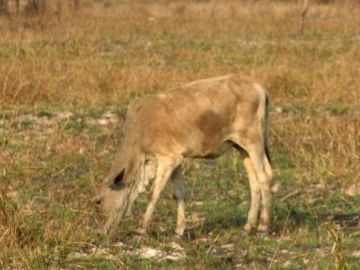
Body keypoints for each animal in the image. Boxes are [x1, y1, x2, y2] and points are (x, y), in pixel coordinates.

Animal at [95, 74, 272, 236]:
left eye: (100, 201)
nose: (101, 231)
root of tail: (259, 88)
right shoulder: (178, 160)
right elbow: (179, 193)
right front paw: (179, 230)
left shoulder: (167, 159)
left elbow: (153, 195)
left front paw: (142, 229)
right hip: (241, 148)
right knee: (254, 181)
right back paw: (248, 225)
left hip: (254, 142)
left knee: (264, 177)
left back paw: (263, 226)